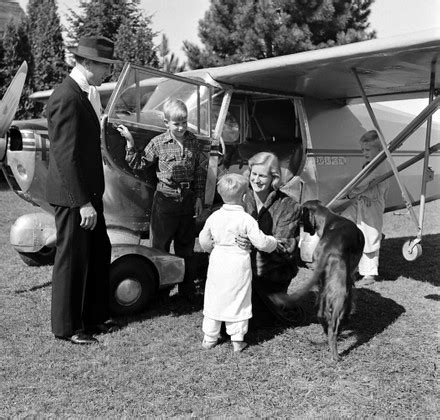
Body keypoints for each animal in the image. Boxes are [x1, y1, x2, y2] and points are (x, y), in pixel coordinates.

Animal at [274, 200, 362, 360]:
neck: (331, 219)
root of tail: (329, 248)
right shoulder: (350, 276)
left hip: (323, 291)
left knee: (321, 315)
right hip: (339, 295)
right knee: (333, 327)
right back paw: (336, 354)